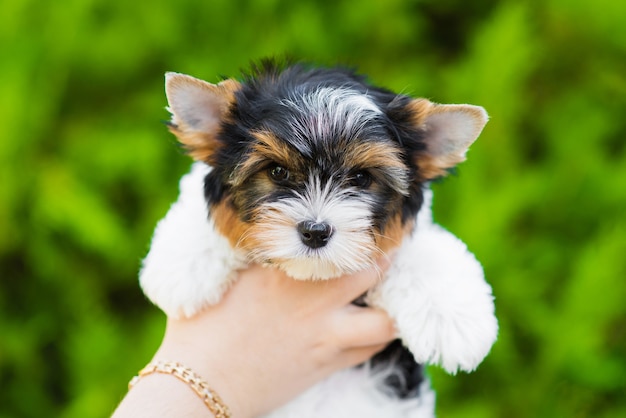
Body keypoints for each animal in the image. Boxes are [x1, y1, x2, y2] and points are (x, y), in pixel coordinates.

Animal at [139, 60, 494, 416]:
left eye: (361, 178)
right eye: (277, 172)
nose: (315, 231)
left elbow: (422, 250)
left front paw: (451, 318)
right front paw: (183, 266)